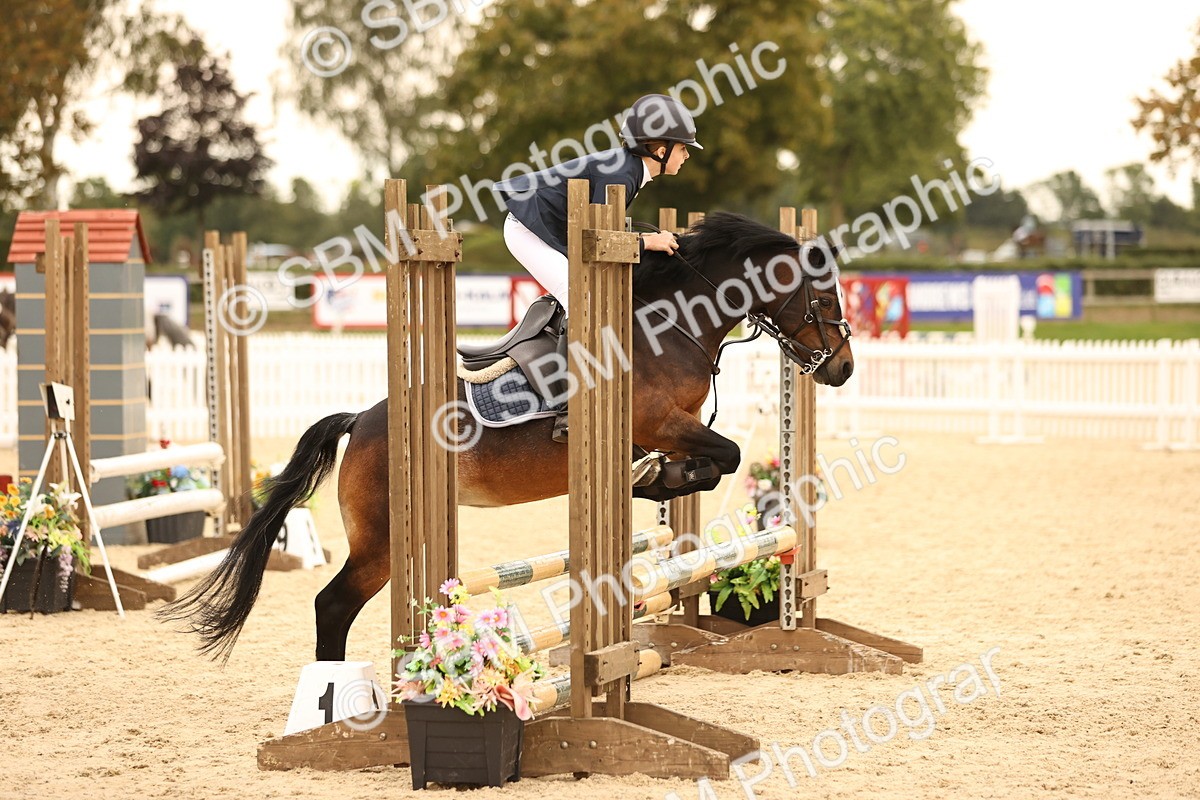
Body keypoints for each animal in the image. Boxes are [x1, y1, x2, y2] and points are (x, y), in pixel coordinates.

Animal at [162, 212, 855, 662]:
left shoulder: (670, 428)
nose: (844, 369)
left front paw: (657, 481)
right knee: (331, 607)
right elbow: (725, 455)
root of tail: (361, 423)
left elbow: (710, 462)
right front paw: (663, 477)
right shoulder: (657, 422)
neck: (671, 325)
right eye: (823, 297)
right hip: (382, 543)